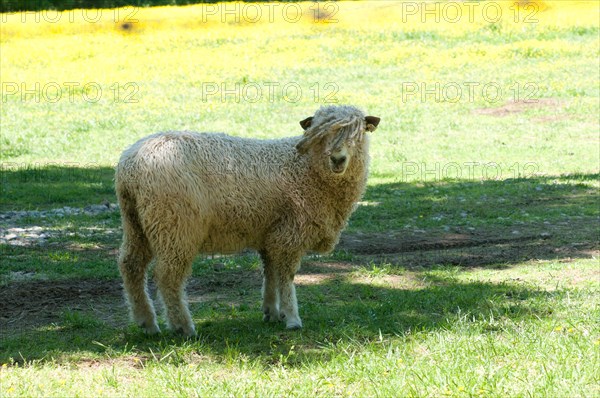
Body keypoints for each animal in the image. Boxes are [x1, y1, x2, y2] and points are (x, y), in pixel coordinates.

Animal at [115, 105, 382, 336]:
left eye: (358, 133)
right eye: (320, 135)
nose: (338, 159)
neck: (307, 170)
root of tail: (130, 164)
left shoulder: (271, 233)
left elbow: (270, 272)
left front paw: (272, 312)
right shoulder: (290, 234)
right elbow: (286, 277)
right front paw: (292, 318)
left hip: (136, 223)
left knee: (131, 265)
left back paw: (147, 322)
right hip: (175, 226)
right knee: (167, 276)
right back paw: (183, 326)